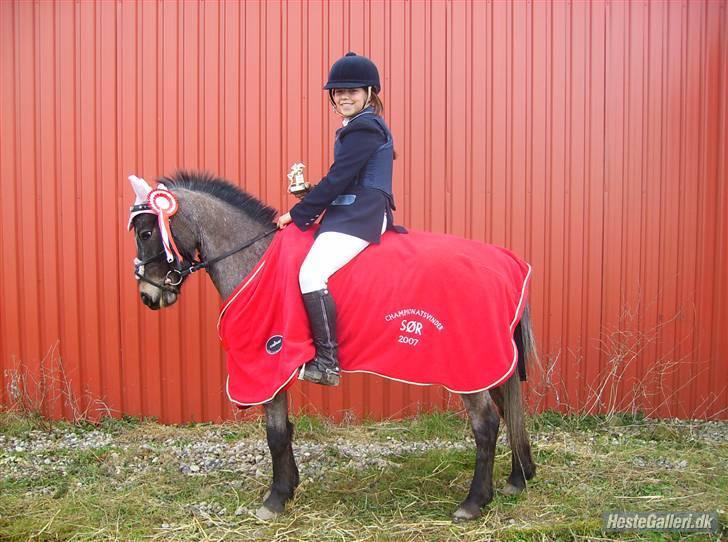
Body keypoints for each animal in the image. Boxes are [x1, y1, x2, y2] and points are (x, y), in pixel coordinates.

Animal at [128, 170, 536, 522]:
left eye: (147, 232)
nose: (149, 296)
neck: (256, 258)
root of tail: (505, 262)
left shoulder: (268, 362)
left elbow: (275, 433)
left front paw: (275, 499)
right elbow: (286, 429)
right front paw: (289, 487)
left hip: (468, 367)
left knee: (486, 423)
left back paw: (473, 502)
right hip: (489, 363)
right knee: (509, 407)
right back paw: (518, 478)